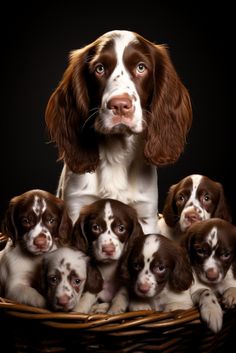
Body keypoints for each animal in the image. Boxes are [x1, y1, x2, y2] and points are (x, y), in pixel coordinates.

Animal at [45, 29, 192, 234]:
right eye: (99, 69)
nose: (120, 105)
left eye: (141, 67)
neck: (116, 153)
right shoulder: (75, 206)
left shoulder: (146, 215)